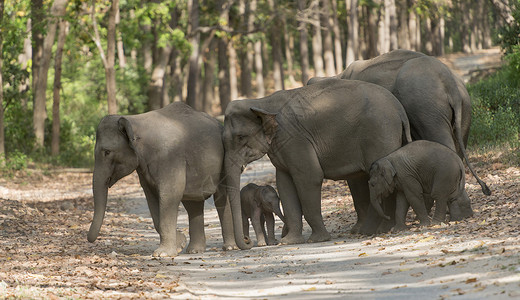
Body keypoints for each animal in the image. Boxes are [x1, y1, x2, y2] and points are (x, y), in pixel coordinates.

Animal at [88, 102, 236, 256]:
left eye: (107, 152)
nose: (90, 240)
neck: (135, 120)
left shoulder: (170, 157)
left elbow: (170, 194)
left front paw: (164, 253)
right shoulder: (143, 168)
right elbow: (151, 197)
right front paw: (179, 244)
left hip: (225, 163)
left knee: (221, 199)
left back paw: (229, 247)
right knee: (193, 204)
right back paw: (194, 250)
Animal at [221, 78, 412, 250]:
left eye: (240, 137)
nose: (247, 242)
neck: (262, 102)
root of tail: (399, 107)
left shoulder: (295, 140)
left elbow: (309, 177)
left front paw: (317, 239)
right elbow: (284, 184)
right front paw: (289, 242)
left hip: (381, 134)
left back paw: (373, 231)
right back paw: (377, 229)